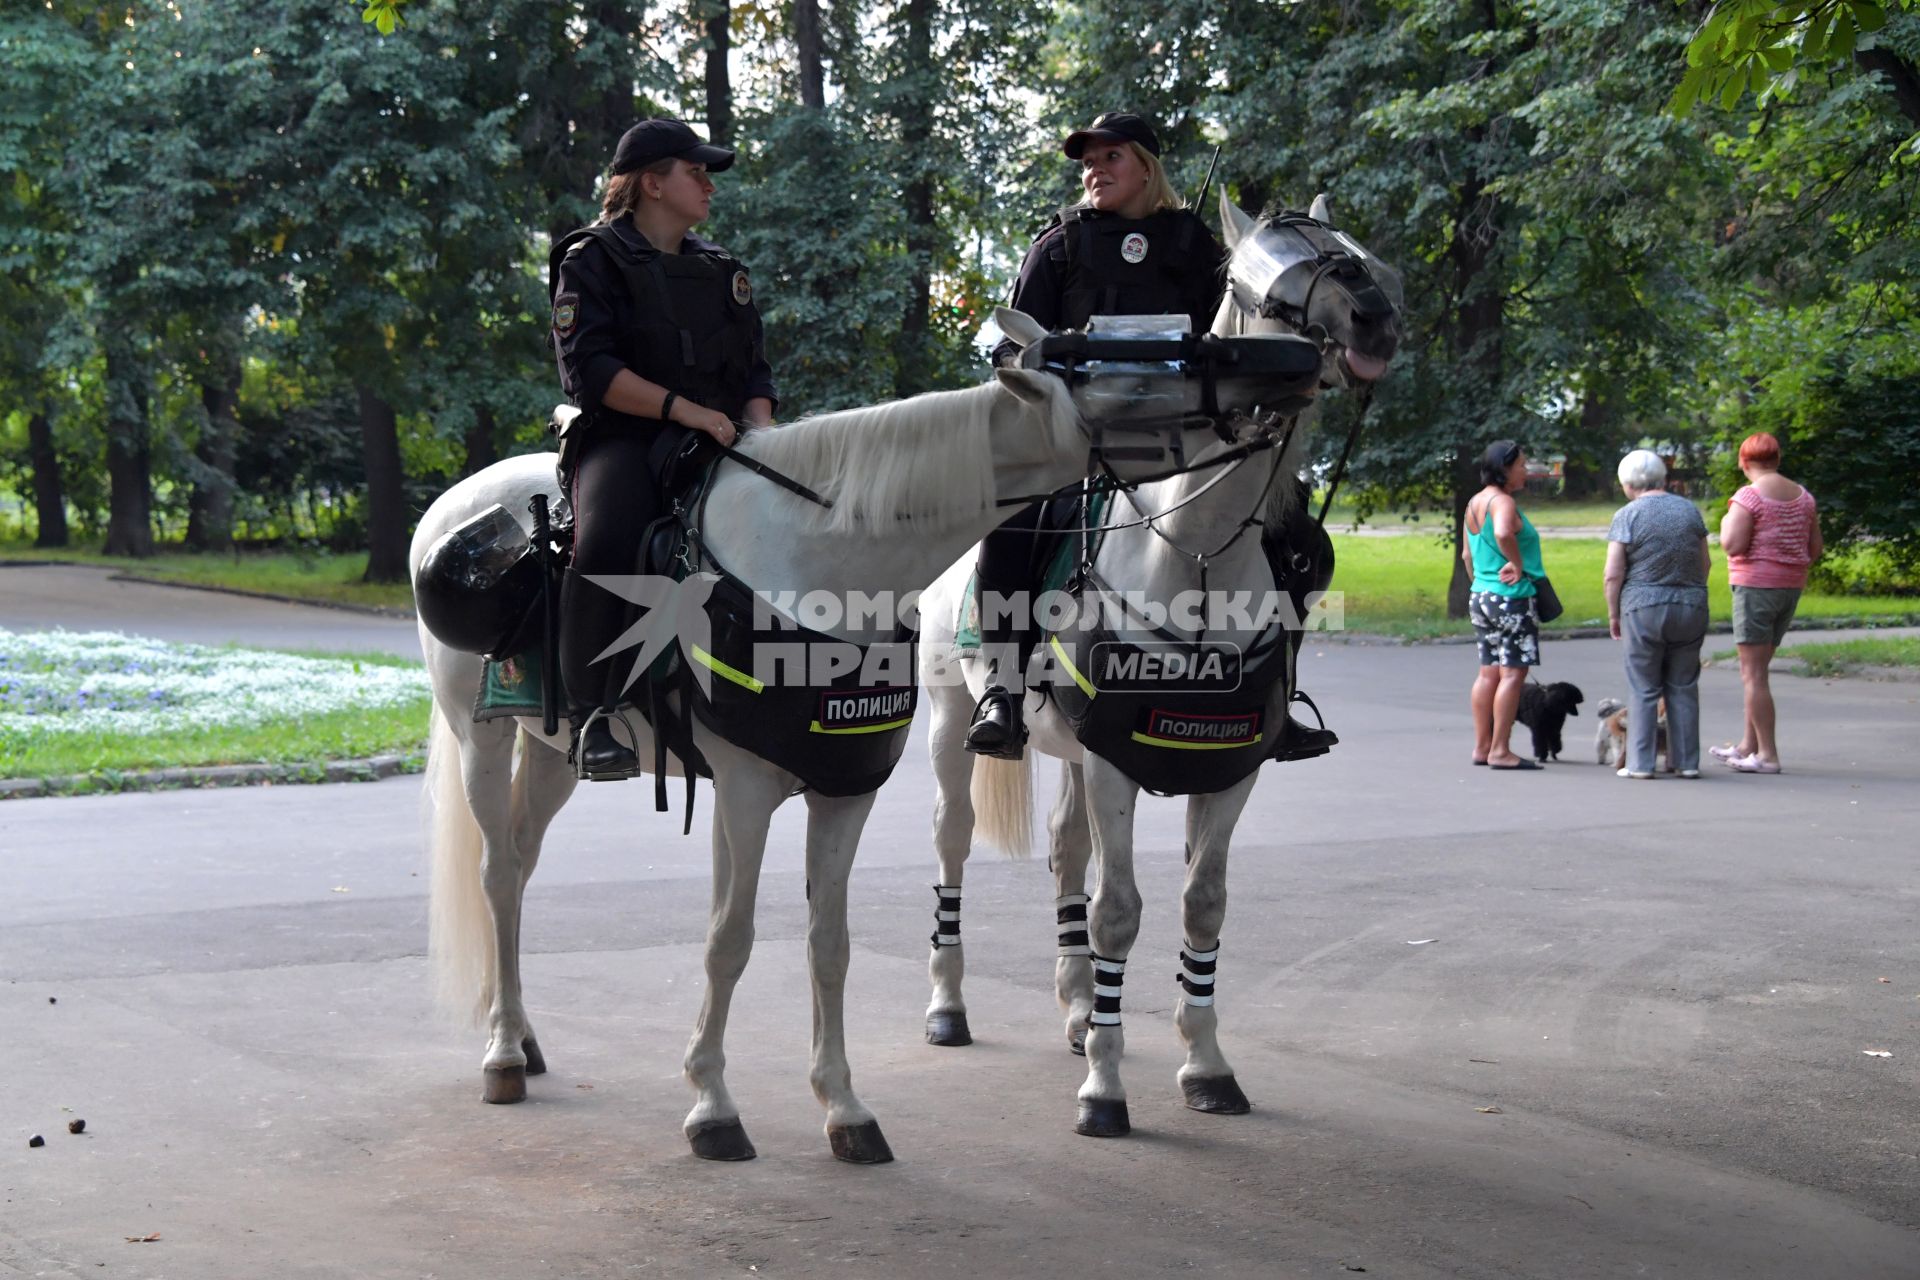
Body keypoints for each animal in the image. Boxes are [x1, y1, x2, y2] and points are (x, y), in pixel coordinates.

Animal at [412, 364, 1152, 1166]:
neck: (820, 563)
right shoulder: (744, 792)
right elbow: (728, 940)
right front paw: (712, 1104)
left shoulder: (845, 792)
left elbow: (829, 944)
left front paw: (844, 1107)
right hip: (478, 741)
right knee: (496, 874)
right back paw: (503, 1054)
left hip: (551, 755)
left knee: (519, 865)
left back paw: (519, 1030)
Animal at [913, 192, 1397, 1143]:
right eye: (1255, 279)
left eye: (1355, 251)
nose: (1373, 315)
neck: (1197, 551)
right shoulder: (1115, 767)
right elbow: (1118, 912)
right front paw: (1104, 1088)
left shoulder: (1228, 769)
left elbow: (1200, 904)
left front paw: (1205, 1064)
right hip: (956, 728)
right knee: (954, 845)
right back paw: (950, 1006)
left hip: (1068, 752)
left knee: (1066, 852)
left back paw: (1073, 1008)